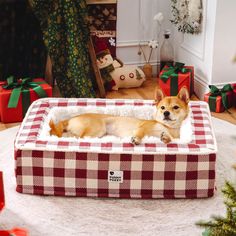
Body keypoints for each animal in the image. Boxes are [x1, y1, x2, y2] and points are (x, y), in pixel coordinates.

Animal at [48, 87, 189, 145]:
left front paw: (166, 138)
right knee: (82, 138)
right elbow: (139, 134)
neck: (168, 127)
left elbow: (170, 139)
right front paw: (136, 140)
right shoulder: (142, 128)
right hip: (98, 130)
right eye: (162, 108)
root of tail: (70, 118)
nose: (166, 113)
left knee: (70, 136)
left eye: (175, 107)